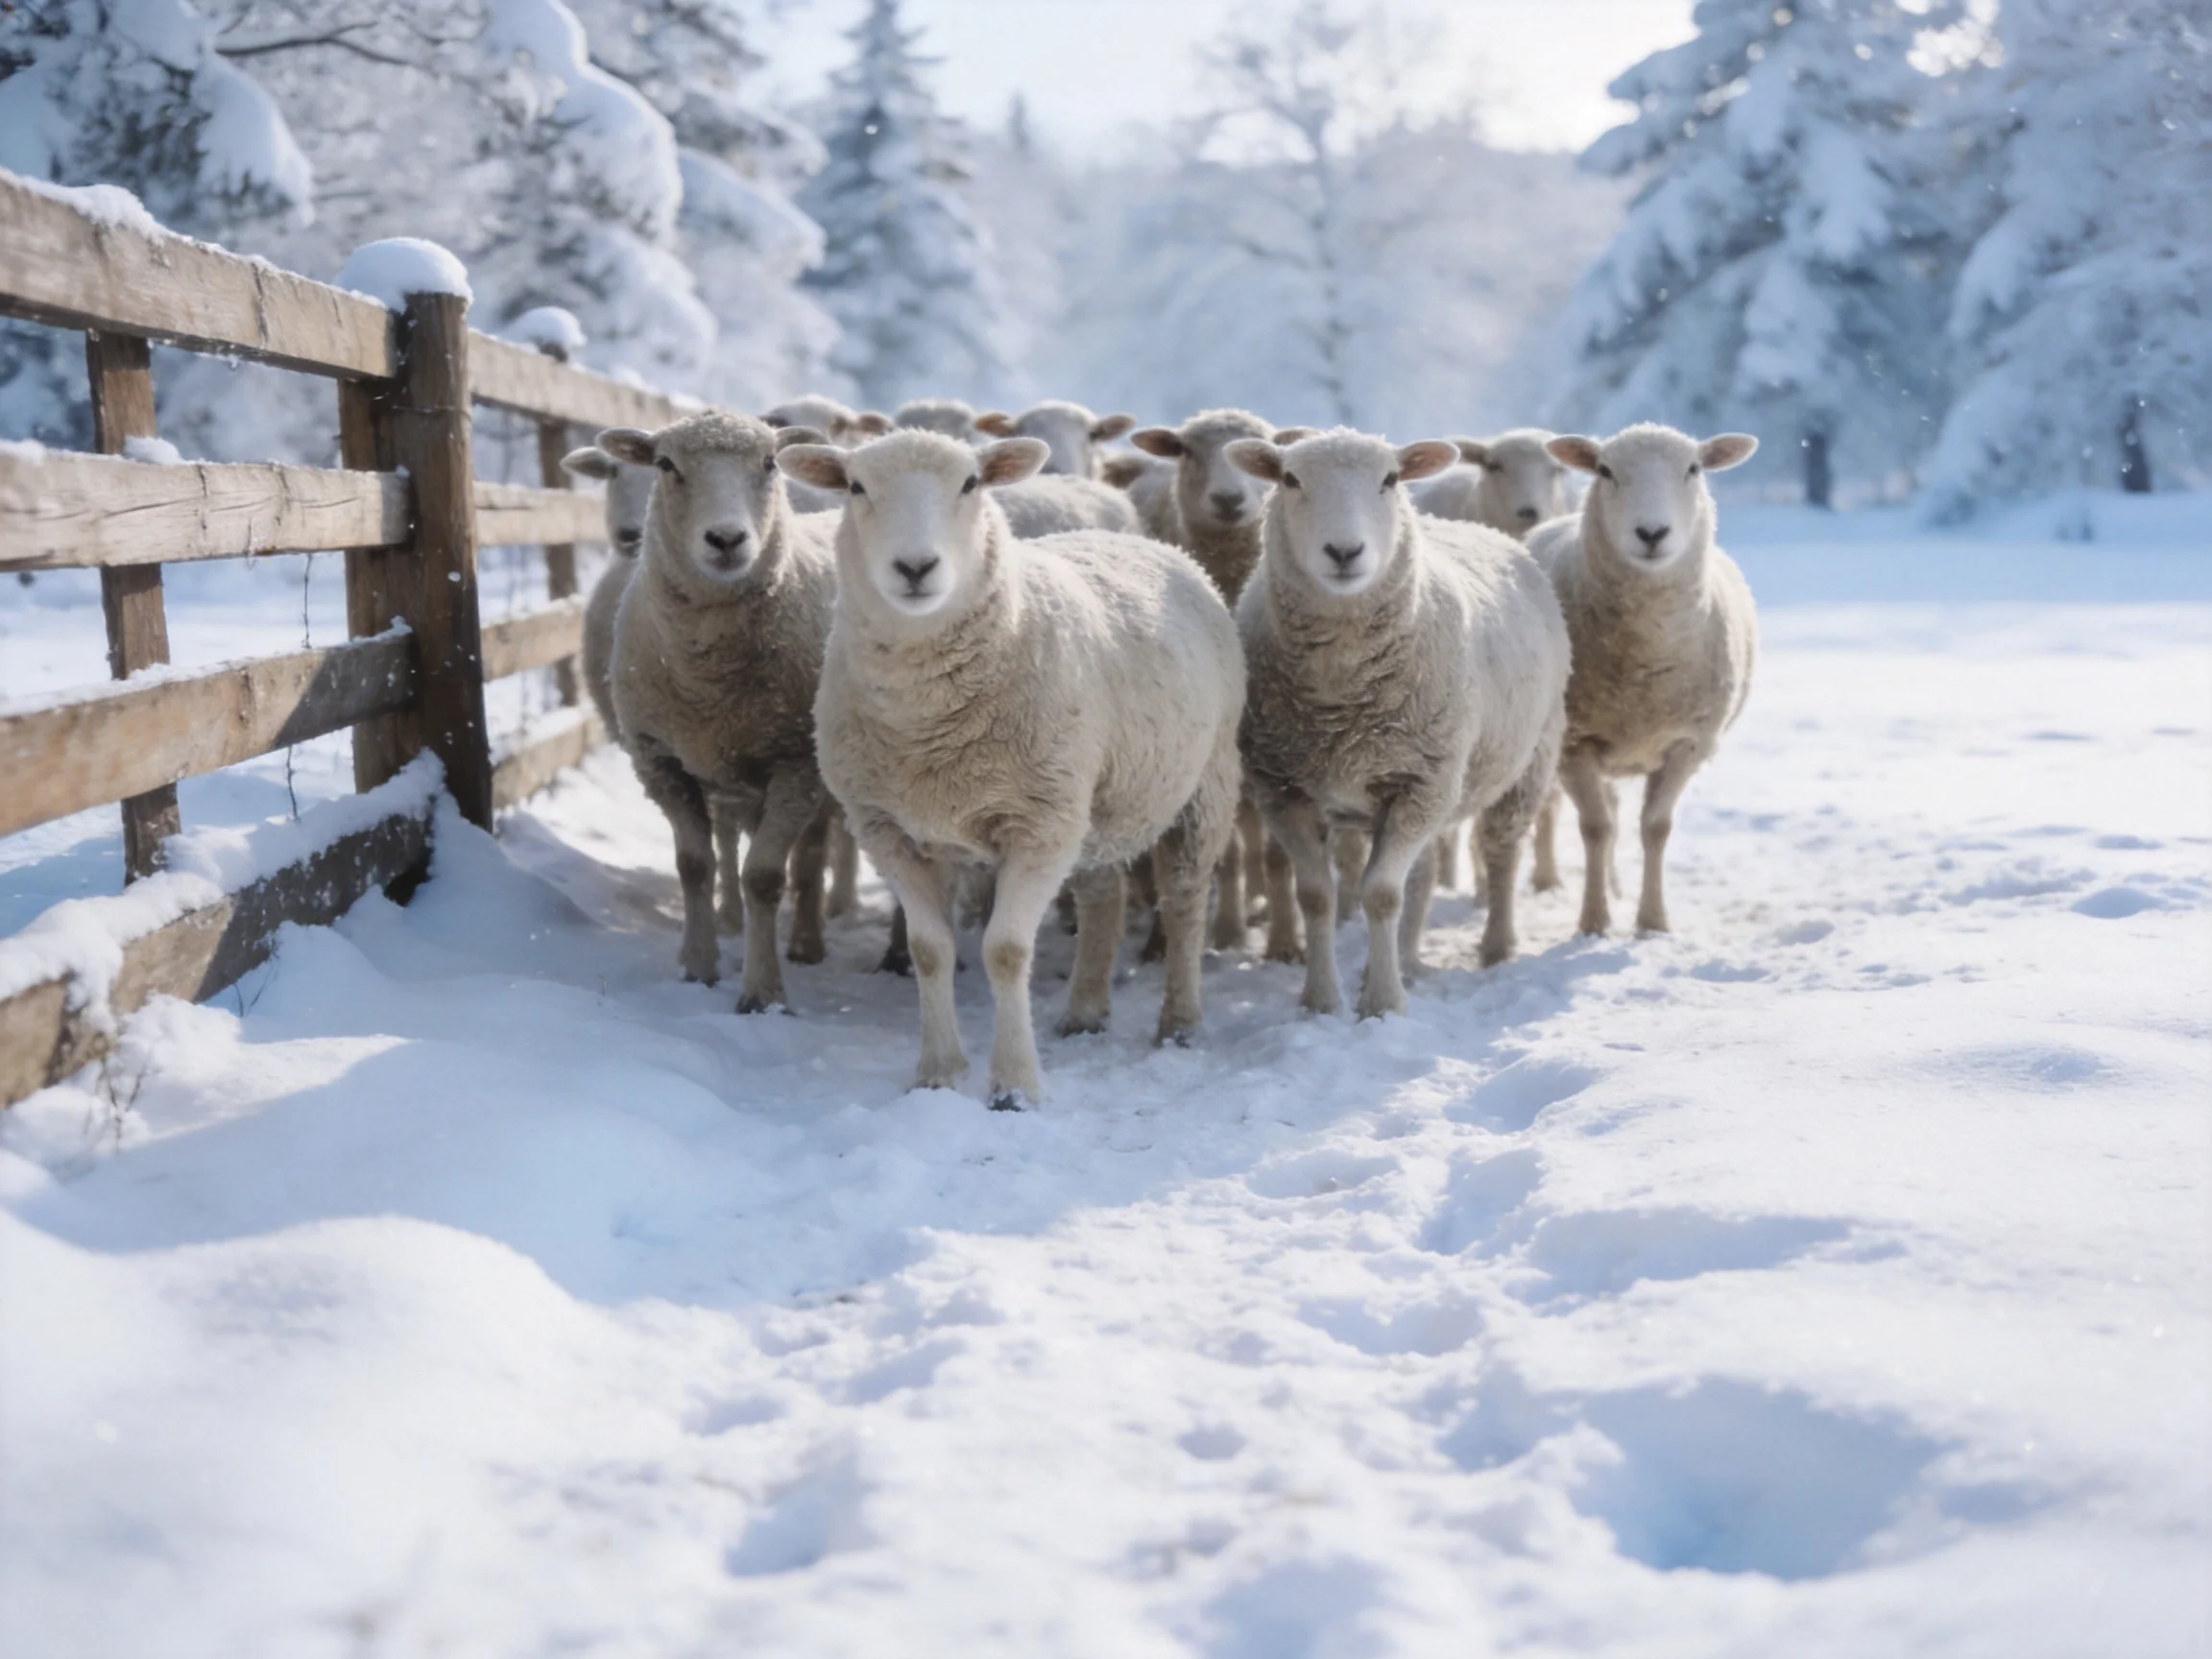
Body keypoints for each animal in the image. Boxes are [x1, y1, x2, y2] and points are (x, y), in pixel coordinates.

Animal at [599, 412, 840, 1014]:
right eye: (665, 464)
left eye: (771, 462)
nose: (727, 539)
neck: (708, 681)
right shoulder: (659, 761)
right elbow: (695, 867)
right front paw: (698, 967)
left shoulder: (797, 766)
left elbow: (763, 878)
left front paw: (763, 993)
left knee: (814, 853)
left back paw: (809, 942)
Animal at [779, 429, 1245, 1109]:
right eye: (856, 487)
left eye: (971, 483)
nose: (915, 568)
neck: (928, 723)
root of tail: (1153, 543)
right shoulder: (888, 830)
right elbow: (929, 950)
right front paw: (938, 1073)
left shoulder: (1037, 827)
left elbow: (1005, 951)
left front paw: (1015, 1087)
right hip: (1089, 803)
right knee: (1104, 894)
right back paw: (1085, 1011)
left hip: (1203, 783)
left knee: (1185, 898)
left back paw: (1180, 1023)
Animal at [1525, 423, 1759, 936]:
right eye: (1605, 471)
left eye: (1693, 469)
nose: (1652, 533)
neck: (1643, 666)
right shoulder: (1575, 742)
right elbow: (1595, 829)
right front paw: (1593, 921)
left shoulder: (1687, 743)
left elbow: (1655, 828)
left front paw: (1652, 921)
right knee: (1551, 807)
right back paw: (1547, 879)